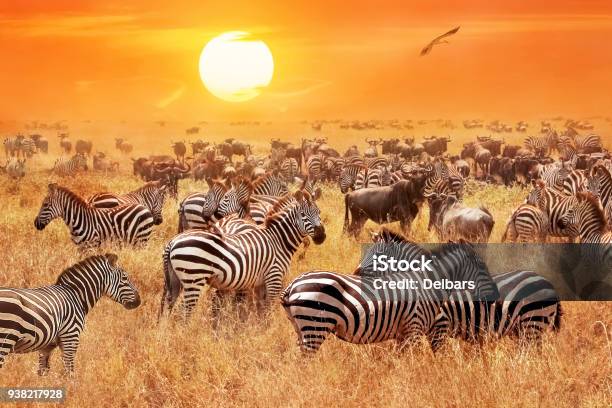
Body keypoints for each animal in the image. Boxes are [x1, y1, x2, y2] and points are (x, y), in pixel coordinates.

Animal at [0, 255, 140, 376]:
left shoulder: (47, 347)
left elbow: (43, 372)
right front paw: (73, 390)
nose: (139, 301)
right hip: (5, 339)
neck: (76, 296)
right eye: (125, 278)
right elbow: (69, 372)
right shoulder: (71, 336)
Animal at [160, 190, 328, 320]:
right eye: (303, 214)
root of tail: (172, 242)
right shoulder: (274, 277)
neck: (278, 239)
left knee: (169, 304)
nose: (321, 236)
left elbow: (261, 309)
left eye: (319, 212)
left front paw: (258, 328)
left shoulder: (260, 282)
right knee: (184, 310)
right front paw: (267, 330)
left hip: (176, 280)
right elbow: (269, 309)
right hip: (194, 278)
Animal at [280, 230, 500, 354]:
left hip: (302, 329)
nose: (495, 297)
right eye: (483, 267)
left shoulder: (406, 333)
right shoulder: (416, 329)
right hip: (315, 326)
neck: (428, 282)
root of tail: (293, 285)